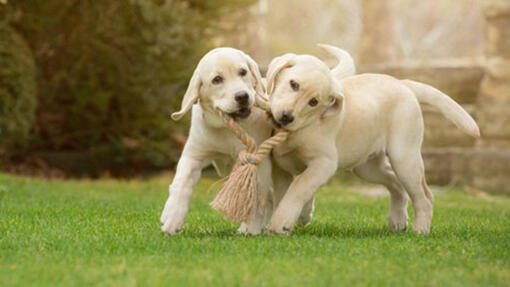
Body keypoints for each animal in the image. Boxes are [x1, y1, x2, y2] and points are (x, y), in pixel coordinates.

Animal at [162, 47, 274, 236]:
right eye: (217, 80)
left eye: (243, 72)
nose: (242, 96)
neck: (227, 129)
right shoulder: (194, 156)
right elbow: (181, 183)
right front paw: (172, 218)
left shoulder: (258, 160)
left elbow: (255, 194)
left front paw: (250, 229)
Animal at [264, 44, 480, 234]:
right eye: (293, 84)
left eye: (313, 102)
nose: (286, 117)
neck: (300, 129)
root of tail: (403, 84)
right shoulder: (282, 166)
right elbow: (288, 191)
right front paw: (300, 215)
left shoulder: (324, 162)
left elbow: (299, 187)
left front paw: (281, 222)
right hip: (368, 167)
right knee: (395, 183)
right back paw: (398, 220)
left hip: (404, 158)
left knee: (424, 196)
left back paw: (420, 229)